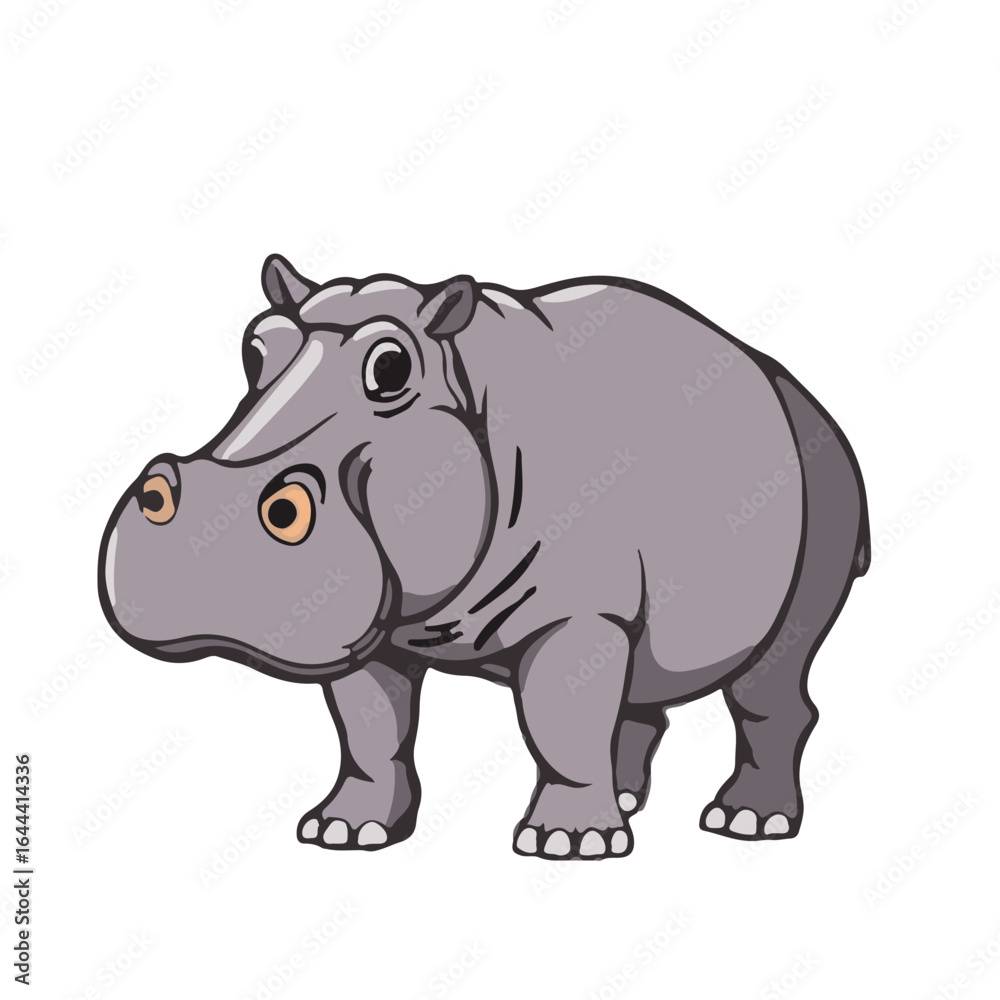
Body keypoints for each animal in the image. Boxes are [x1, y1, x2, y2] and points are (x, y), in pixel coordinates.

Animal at [98, 255, 869, 859]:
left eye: (390, 369)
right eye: (255, 349)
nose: (199, 545)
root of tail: (805, 398)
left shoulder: (578, 612)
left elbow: (559, 719)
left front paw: (566, 846)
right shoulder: (375, 623)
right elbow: (370, 729)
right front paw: (345, 833)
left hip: (824, 491)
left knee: (770, 683)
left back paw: (745, 824)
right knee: (640, 687)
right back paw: (628, 803)